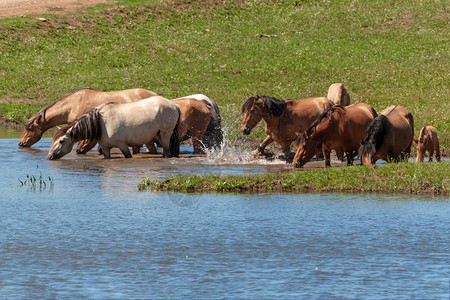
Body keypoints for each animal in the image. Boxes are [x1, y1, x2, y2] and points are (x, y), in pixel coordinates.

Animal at [45, 96, 179, 161]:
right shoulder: (105, 148)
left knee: (166, 150)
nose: (49, 157)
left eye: (61, 141)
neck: (101, 123)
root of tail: (174, 105)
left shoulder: (122, 145)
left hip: (165, 133)